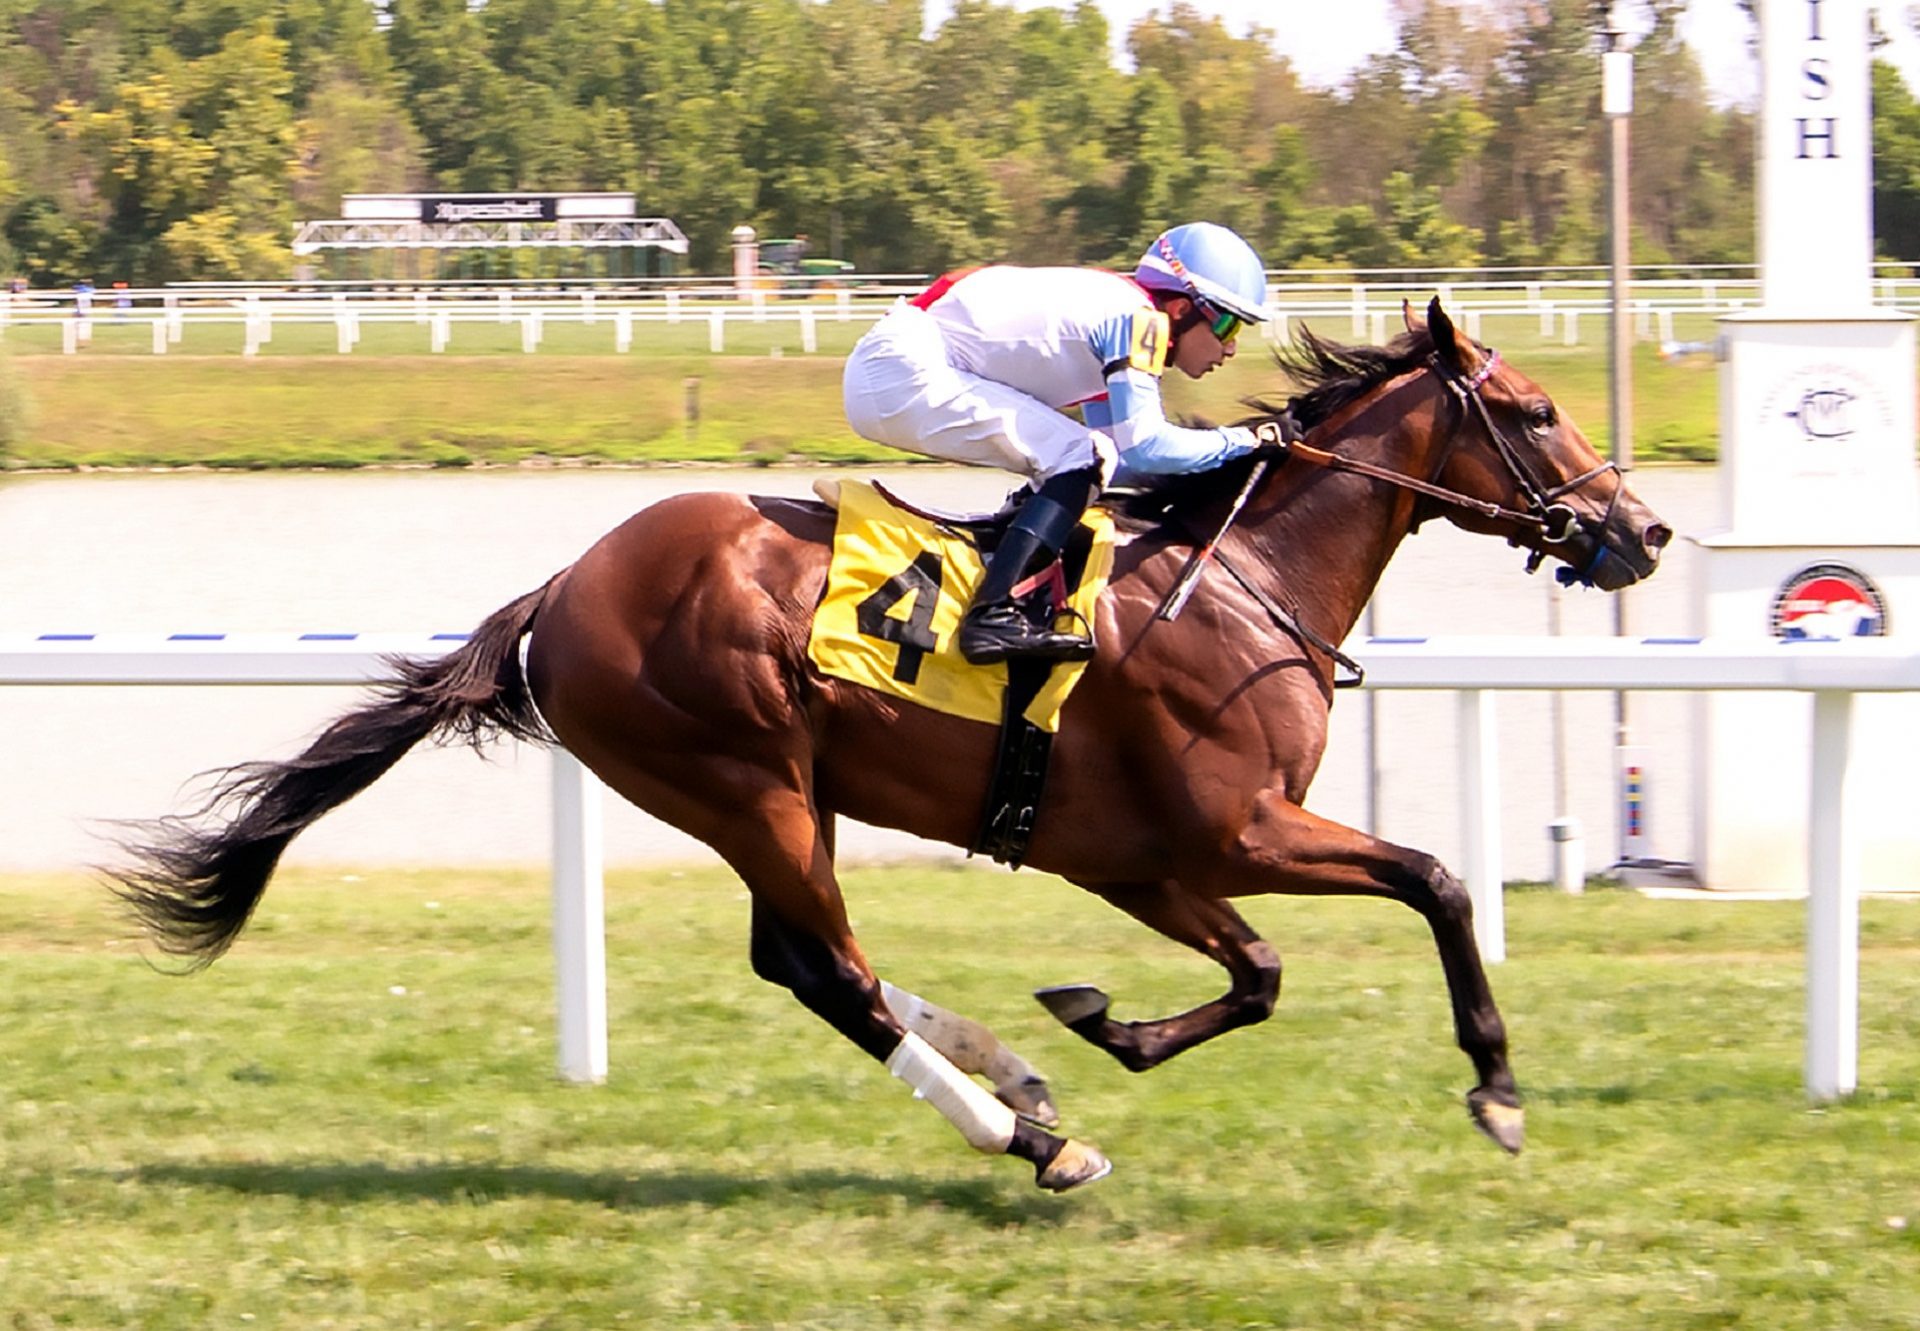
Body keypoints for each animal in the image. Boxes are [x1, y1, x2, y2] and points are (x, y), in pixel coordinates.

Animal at [108, 301, 1666, 1190]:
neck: (1242, 580)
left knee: (800, 955)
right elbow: (1434, 882)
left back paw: (1021, 1080)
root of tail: (560, 591)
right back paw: (1031, 1136)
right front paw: (1499, 1088)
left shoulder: (1142, 860)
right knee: (831, 970)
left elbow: (1263, 971)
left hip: (773, 794)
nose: (1643, 530)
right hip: (744, 778)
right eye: (1533, 411)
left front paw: (1101, 1020)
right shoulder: (1229, 831)